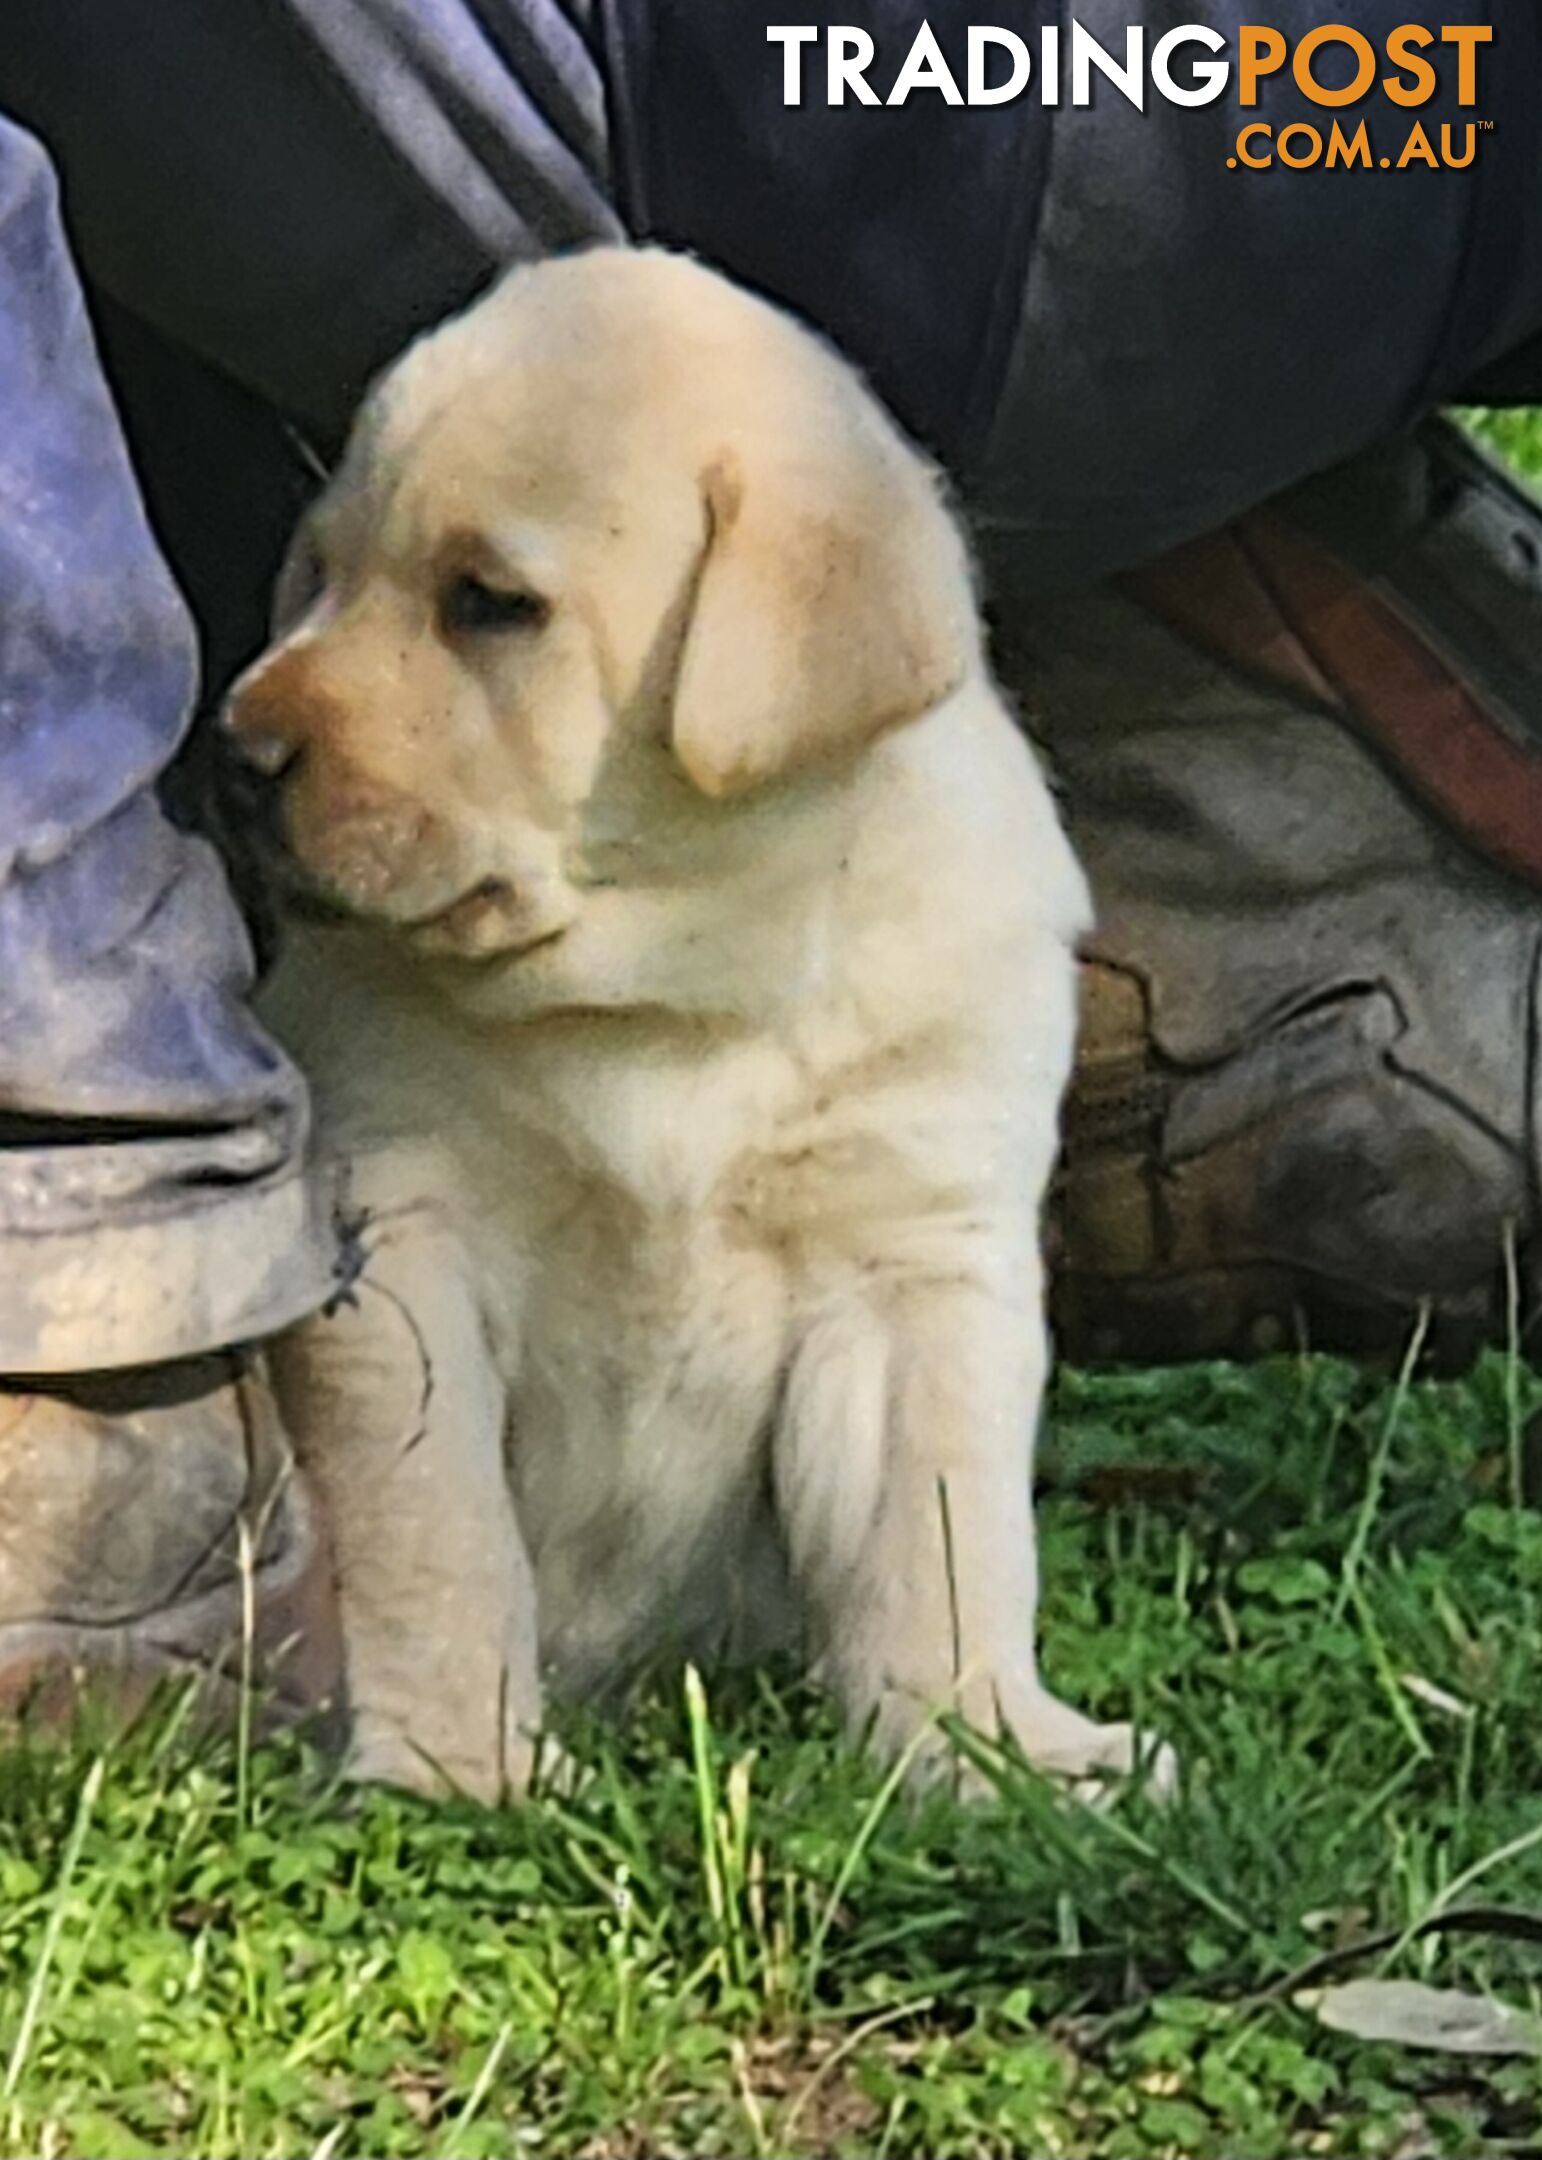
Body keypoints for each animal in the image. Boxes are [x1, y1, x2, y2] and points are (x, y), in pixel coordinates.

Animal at [222, 245, 1148, 1797]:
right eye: (323, 574)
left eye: (488, 602)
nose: (234, 756)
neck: (667, 989)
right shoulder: (400, 1239)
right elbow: (437, 1530)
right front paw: (461, 1764)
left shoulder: (914, 1260)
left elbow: (945, 1541)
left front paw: (986, 1748)